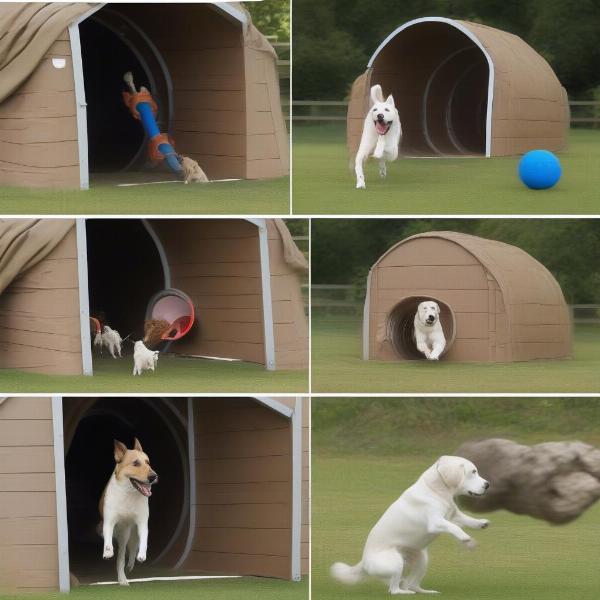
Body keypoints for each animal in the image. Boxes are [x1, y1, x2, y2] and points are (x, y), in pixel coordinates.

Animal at [64, 398, 189, 580]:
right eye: (135, 463)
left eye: (148, 462)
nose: (154, 476)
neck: (129, 494)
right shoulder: (109, 519)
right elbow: (108, 535)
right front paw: (107, 551)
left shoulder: (142, 522)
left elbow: (143, 540)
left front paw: (141, 556)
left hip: (129, 534)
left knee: (128, 551)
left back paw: (128, 568)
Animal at [330, 458, 490, 592]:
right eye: (473, 472)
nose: (487, 485)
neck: (435, 491)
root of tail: (363, 563)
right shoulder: (435, 522)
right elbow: (454, 527)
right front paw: (465, 538)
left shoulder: (452, 514)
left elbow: (466, 519)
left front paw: (481, 523)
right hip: (396, 563)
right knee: (394, 588)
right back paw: (403, 593)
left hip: (422, 561)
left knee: (410, 584)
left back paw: (425, 592)